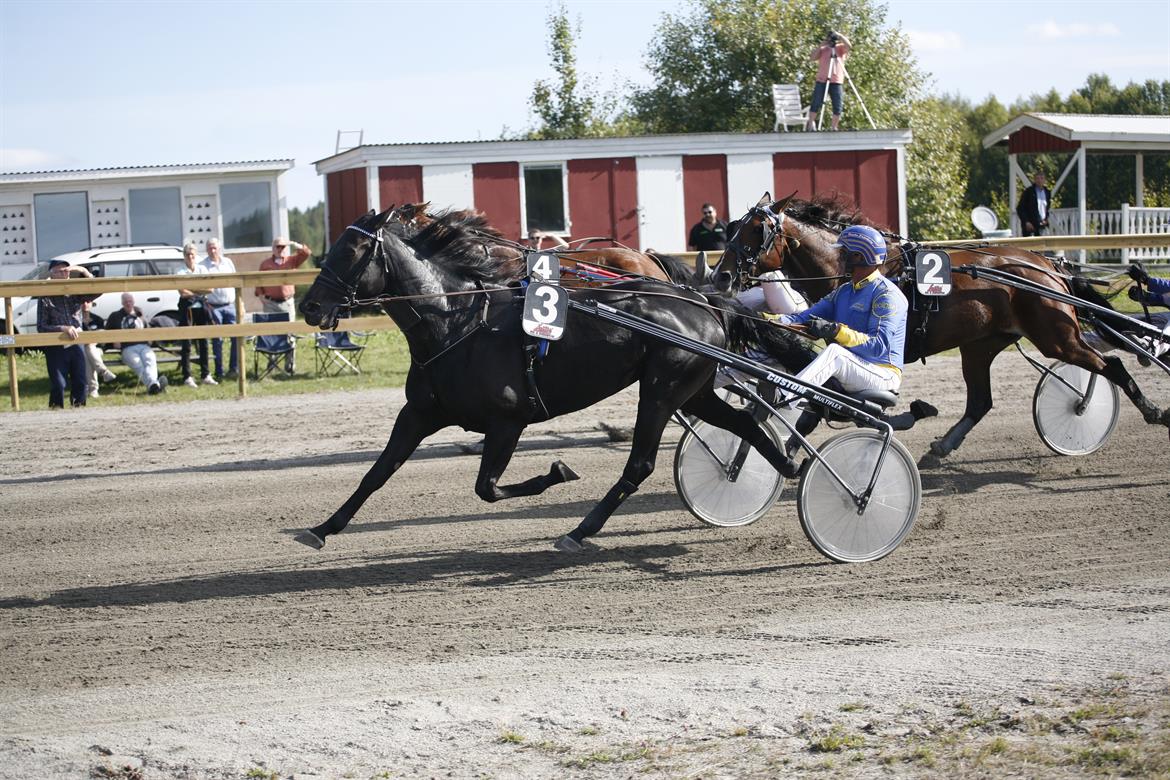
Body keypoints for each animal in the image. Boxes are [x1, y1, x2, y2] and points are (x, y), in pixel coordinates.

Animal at [711, 195, 1170, 463]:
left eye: (755, 231)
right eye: (731, 227)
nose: (720, 276)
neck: (852, 269)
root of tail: (1047, 265)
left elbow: (818, 407)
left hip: (1057, 337)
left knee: (1112, 365)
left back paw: (1151, 410)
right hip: (981, 346)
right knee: (981, 402)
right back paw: (942, 446)